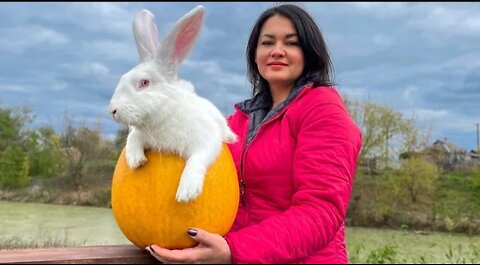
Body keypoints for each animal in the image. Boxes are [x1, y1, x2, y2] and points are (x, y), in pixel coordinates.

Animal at [108, 5, 237, 202]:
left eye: (144, 83)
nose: (112, 110)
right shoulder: (139, 133)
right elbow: (132, 138)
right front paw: (135, 160)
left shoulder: (207, 139)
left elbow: (198, 158)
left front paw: (187, 192)